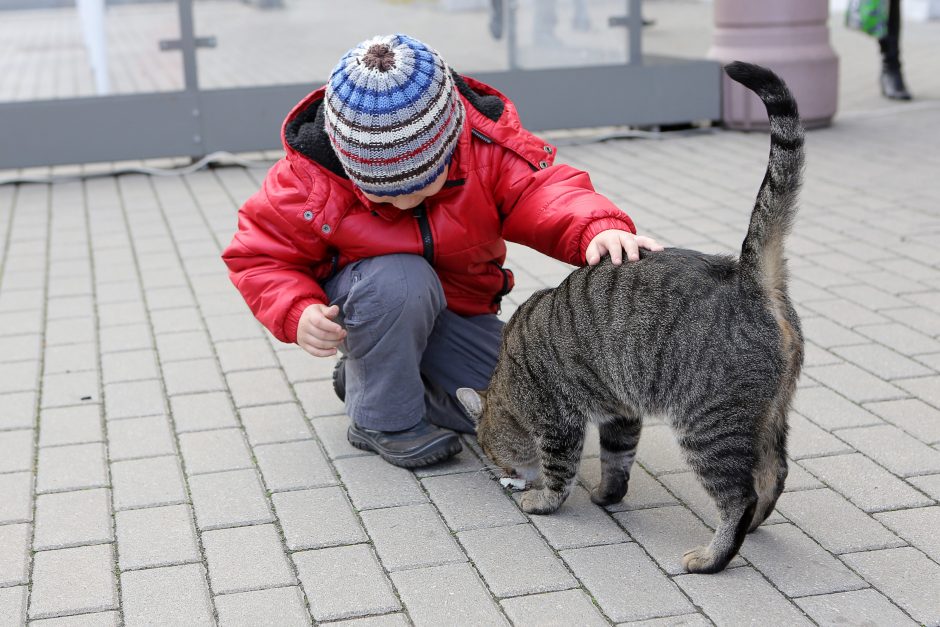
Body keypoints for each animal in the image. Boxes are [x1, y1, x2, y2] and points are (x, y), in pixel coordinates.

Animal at [456, 62, 800, 576]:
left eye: (500, 457)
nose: (505, 474)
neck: (507, 377)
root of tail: (747, 277)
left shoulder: (558, 421)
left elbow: (559, 474)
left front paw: (542, 500)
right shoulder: (621, 411)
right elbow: (617, 463)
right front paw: (606, 496)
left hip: (708, 426)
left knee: (739, 496)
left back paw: (713, 555)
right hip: (770, 416)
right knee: (773, 474)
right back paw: (754, 527)